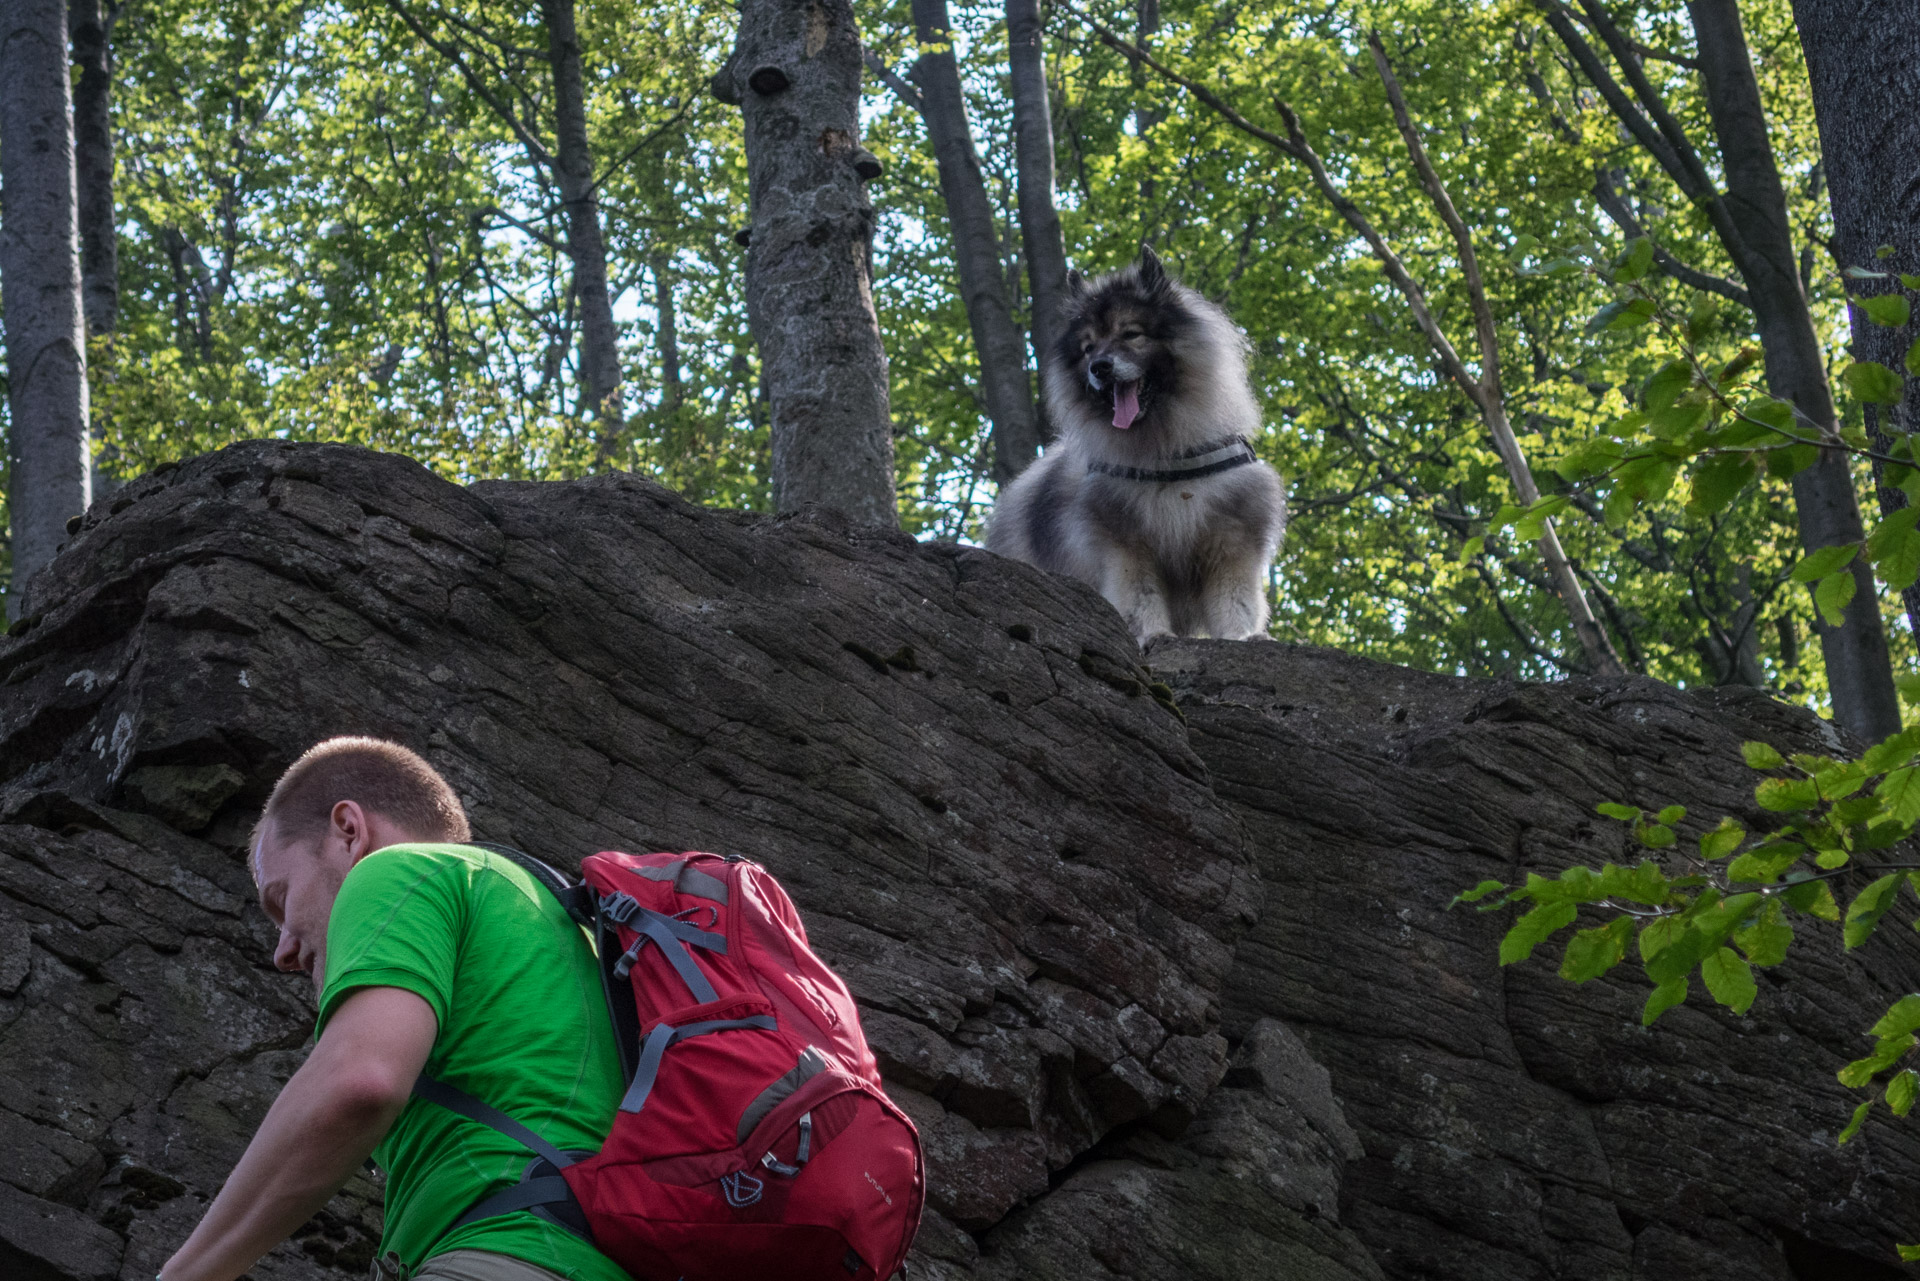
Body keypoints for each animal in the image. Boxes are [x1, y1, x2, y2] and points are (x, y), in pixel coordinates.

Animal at [990, 247, 1290, 641]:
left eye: (1131, 334)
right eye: (1088, 348)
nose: (1100, 367)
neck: (1164, 453)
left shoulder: (1230, 543)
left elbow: (1234, 601)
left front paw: (1242, 636)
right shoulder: (1126, 547)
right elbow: (1140, 597)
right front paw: (1152, 635)